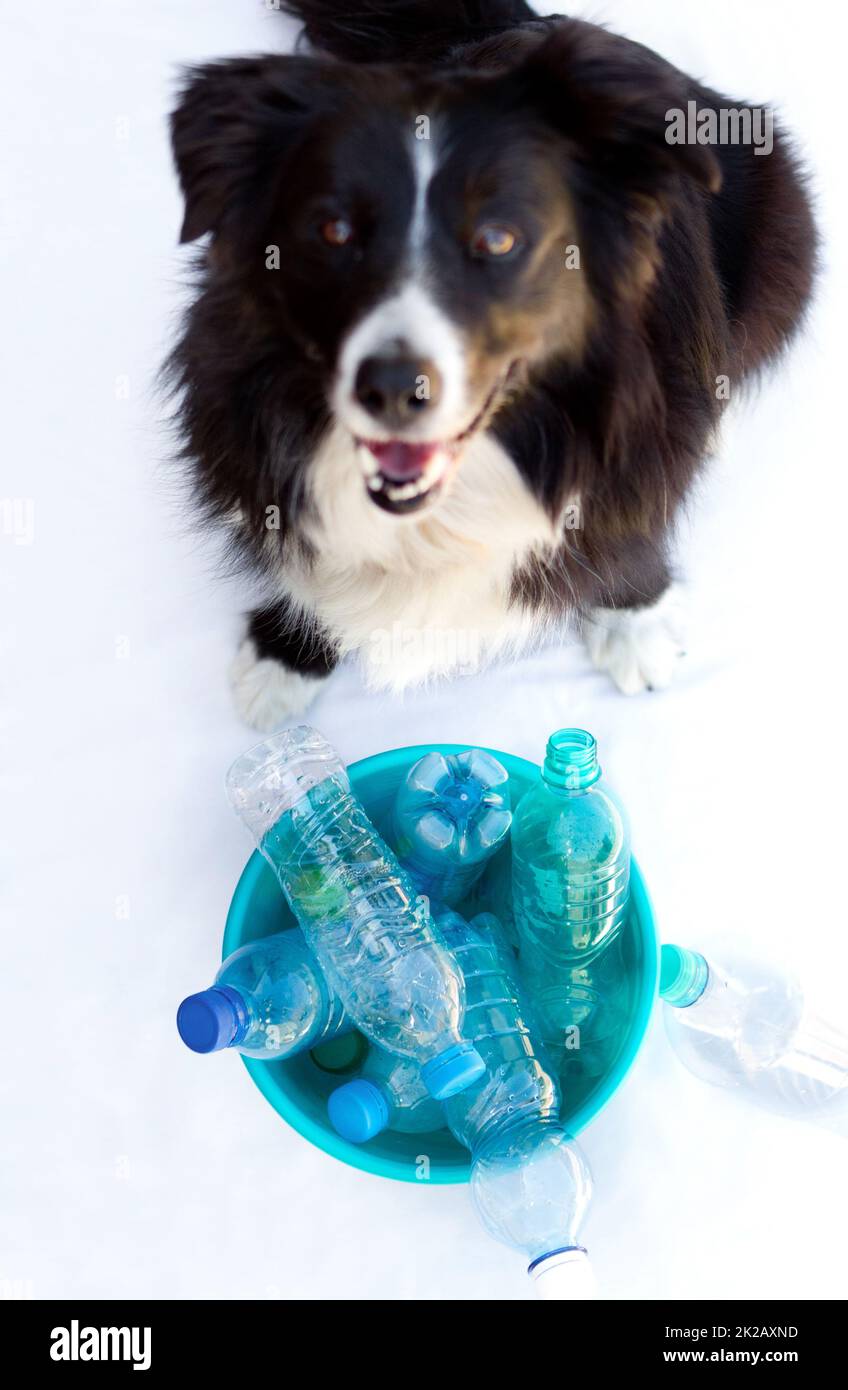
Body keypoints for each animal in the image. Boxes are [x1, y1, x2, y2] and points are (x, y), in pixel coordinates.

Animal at [166, 0, 811, 733]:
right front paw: (284, 658)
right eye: (333, 231)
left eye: (498, 238)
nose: (395, 389)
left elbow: (635, 528)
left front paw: (635, 627)